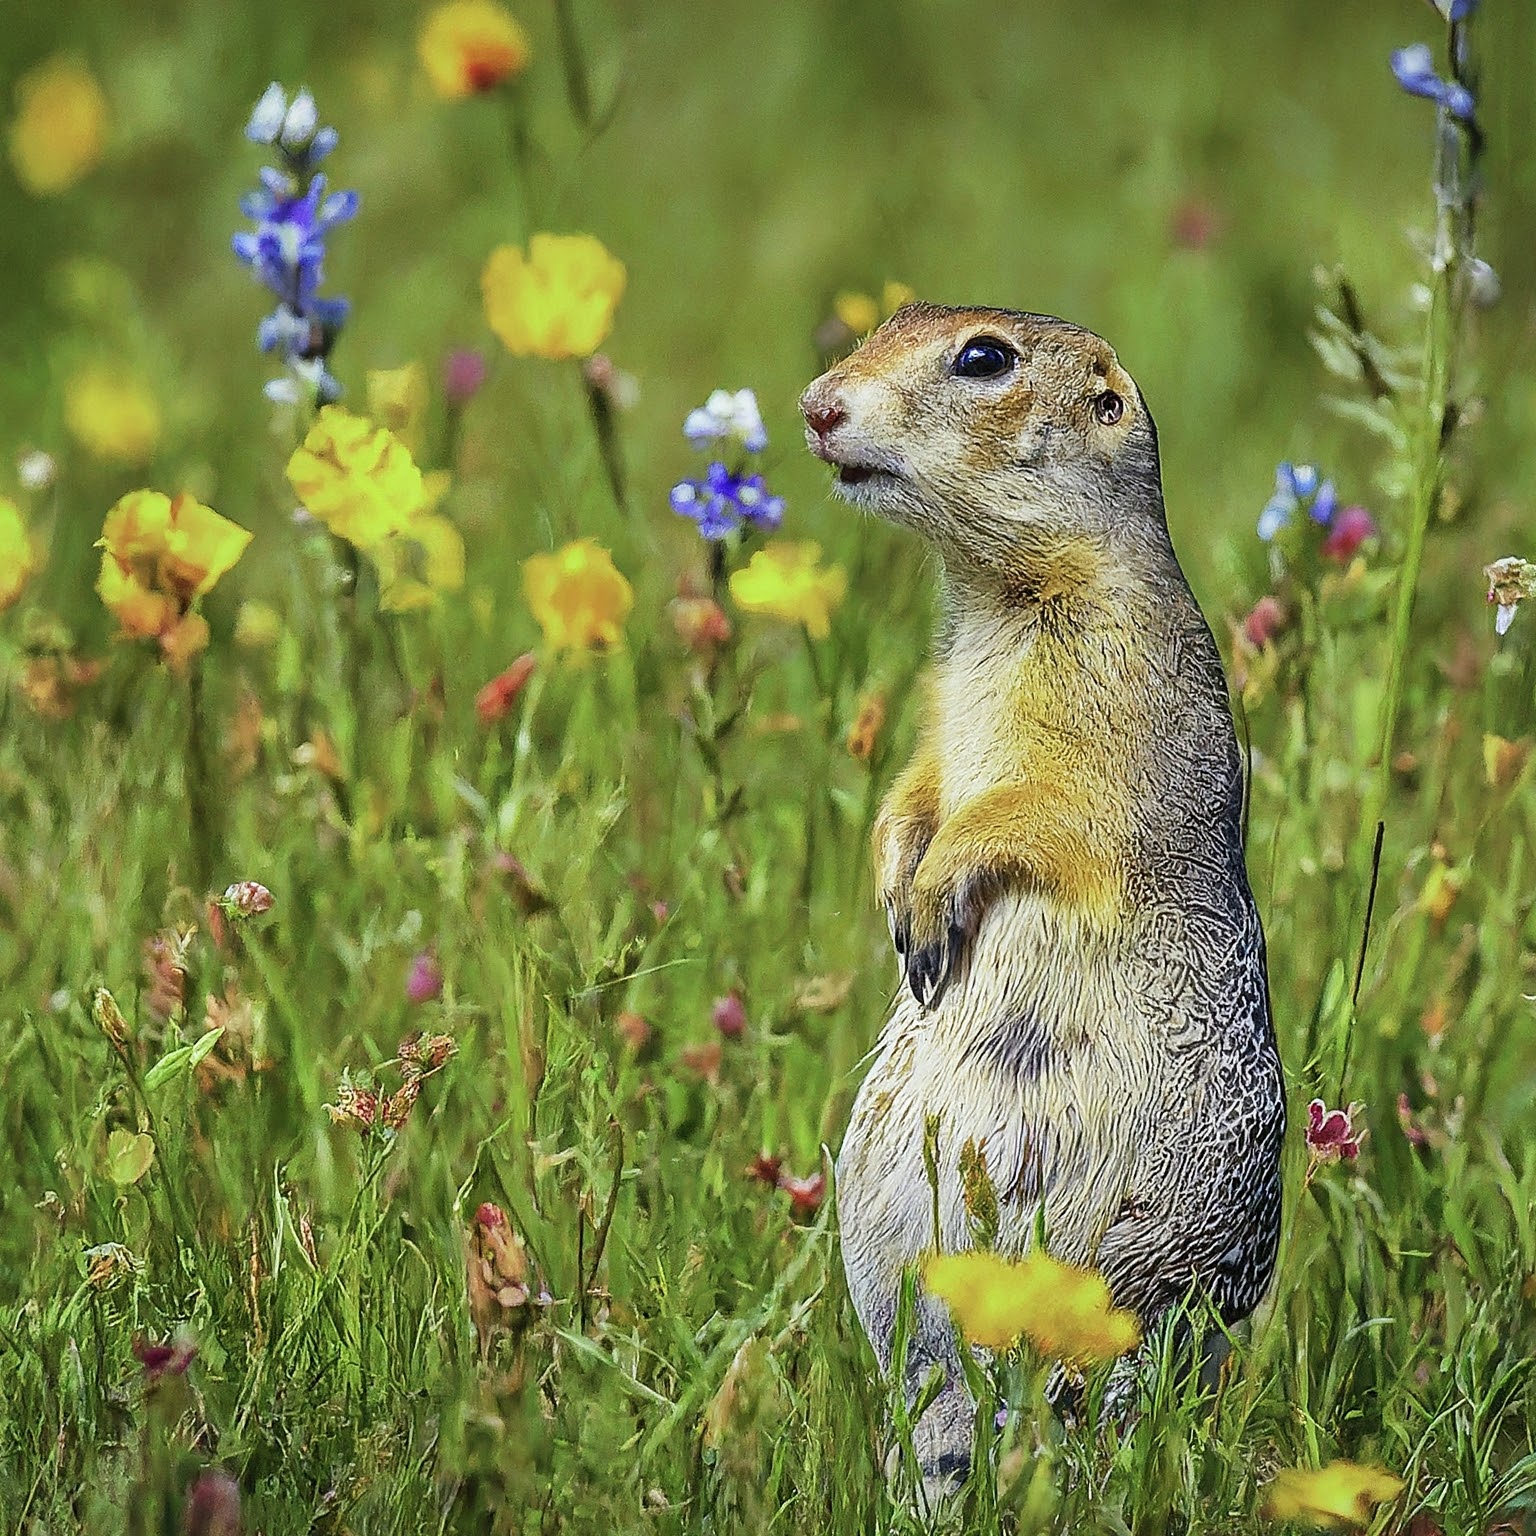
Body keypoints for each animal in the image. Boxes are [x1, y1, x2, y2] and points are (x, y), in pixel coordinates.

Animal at [804, 302, 1284, 1486]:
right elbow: (919, 788)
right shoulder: (940, 719)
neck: (997, 598)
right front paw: (896, 884)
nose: (816, 406)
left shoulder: (1109, 713)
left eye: (985, 358)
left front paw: (932, 900)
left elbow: (1031, 815)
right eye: (892, 318)